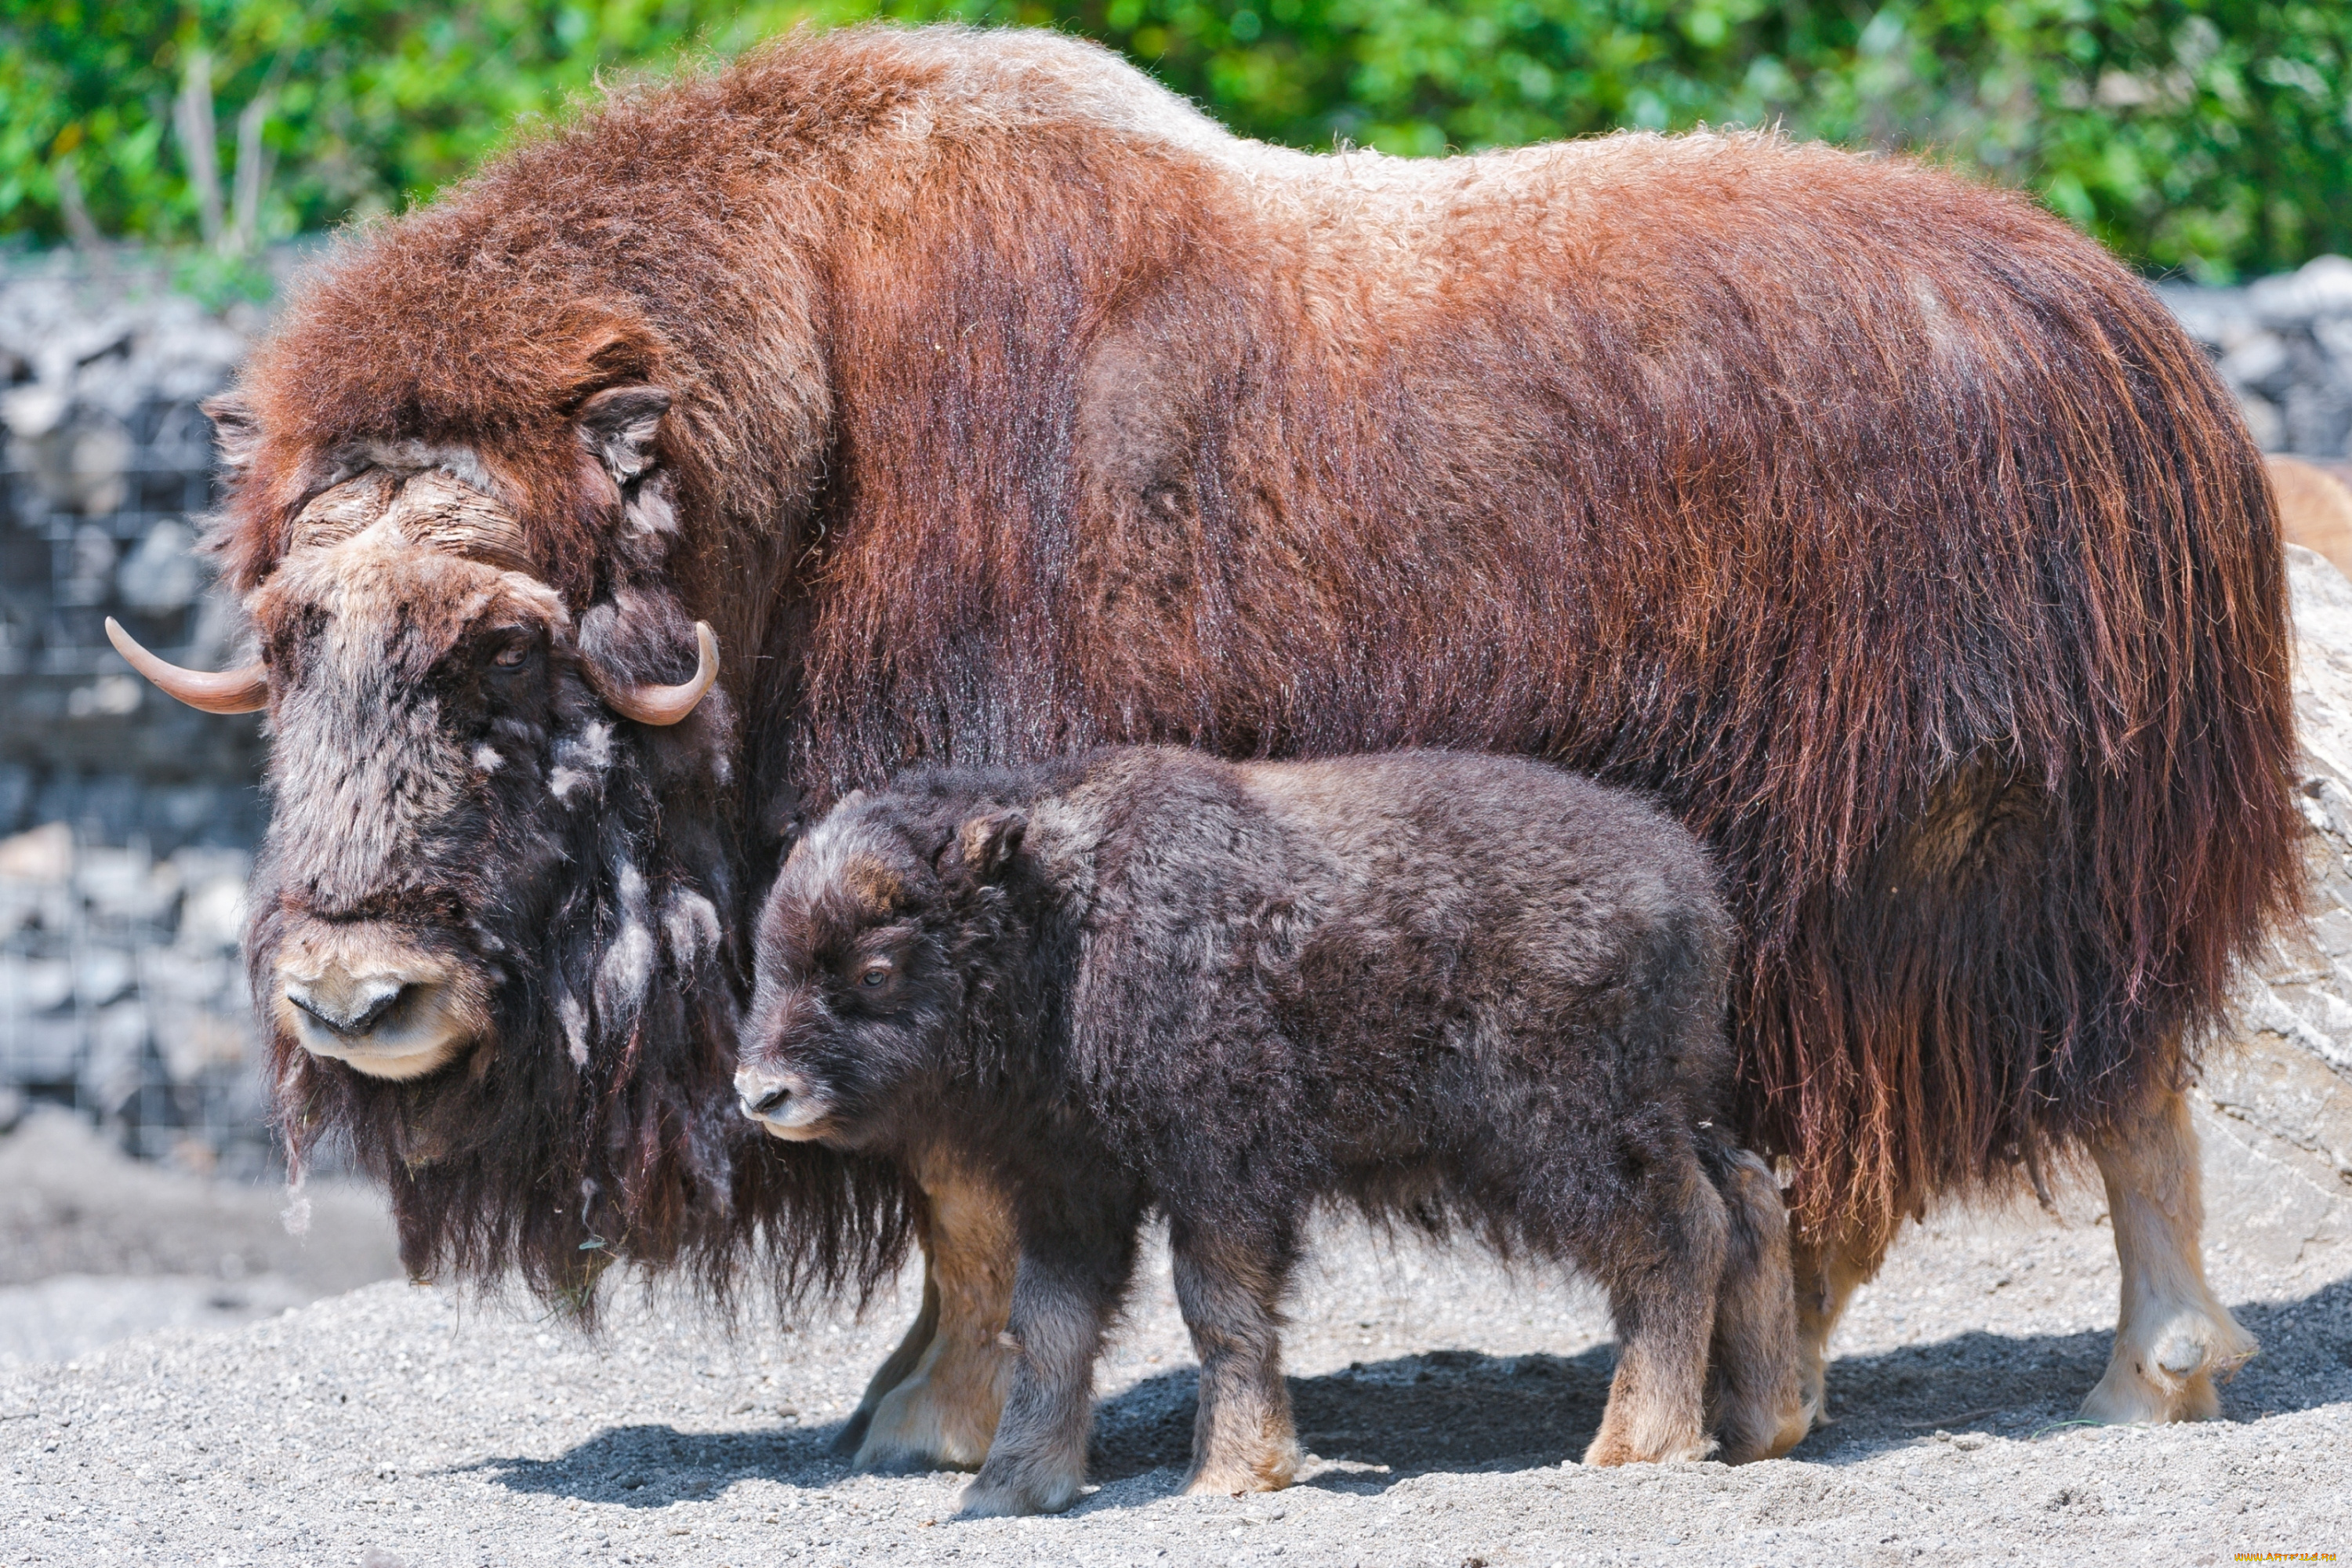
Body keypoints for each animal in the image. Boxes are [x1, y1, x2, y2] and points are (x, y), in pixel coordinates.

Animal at [734, 752, 1797, 1514]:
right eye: (769, 951)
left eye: (874, 967)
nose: (761, 1090)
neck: (1068, 925)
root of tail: (1687, 887)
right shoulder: (1072, 1189)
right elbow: (1048, 1326)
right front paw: (1010, 1486)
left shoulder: (1222, 1171)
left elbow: (1218, 1307)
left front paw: (1233, 1472)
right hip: (1662, 1116)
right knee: (1746, 1194)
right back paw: (1763, 1423)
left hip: (1569, 1141)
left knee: (1676, 1236)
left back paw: (1634, 1444)